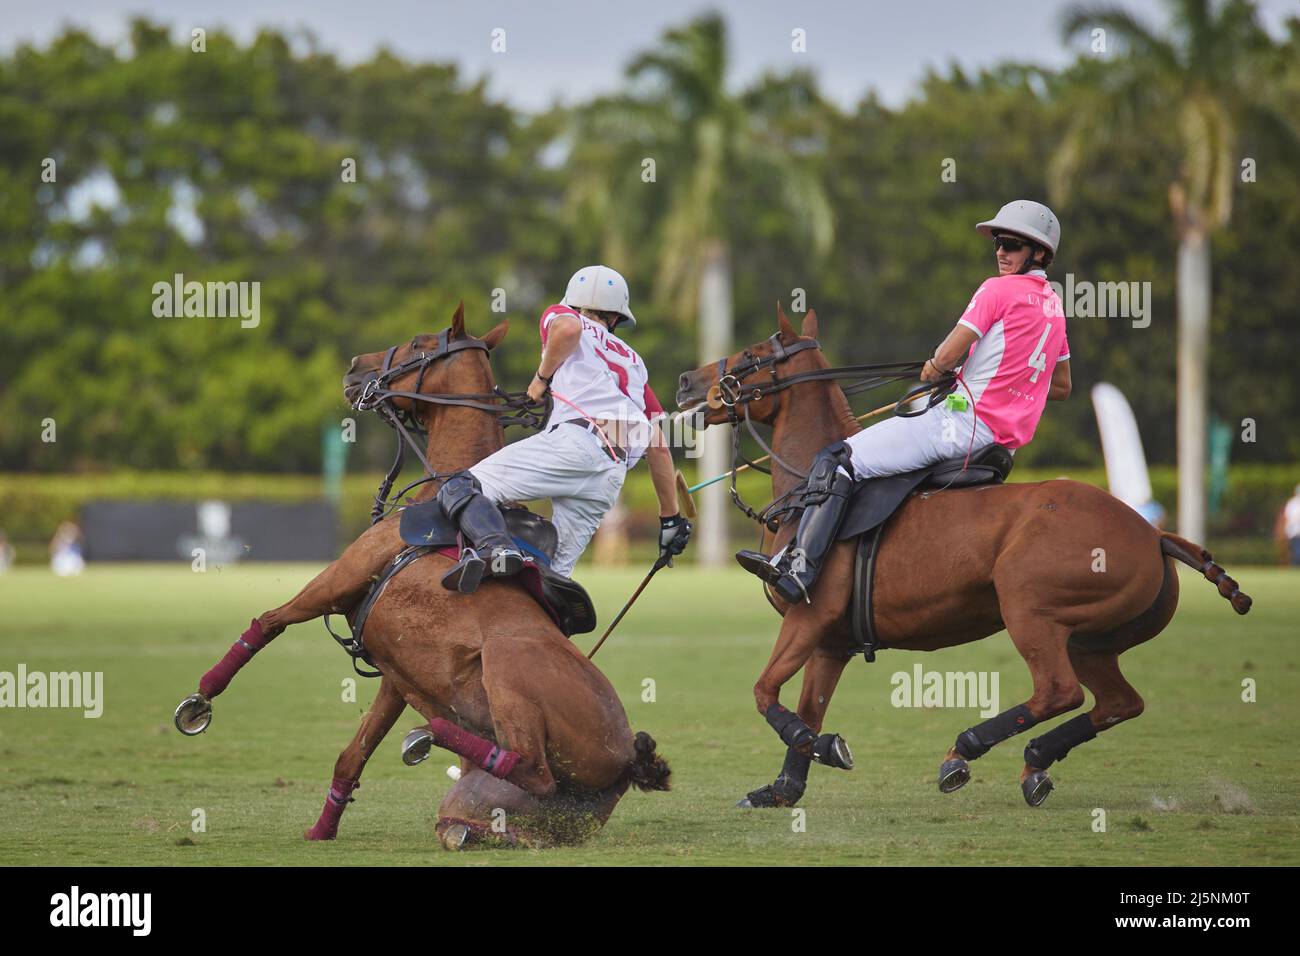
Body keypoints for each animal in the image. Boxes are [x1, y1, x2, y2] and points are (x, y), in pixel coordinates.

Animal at [175, 303, 670, 848]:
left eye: (417, 342)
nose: (355, 367)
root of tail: (626, 762)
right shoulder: (394, 673)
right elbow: (353, 754)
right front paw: (321, 829)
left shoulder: (336, 580)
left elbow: (268, 622)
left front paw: (199, 701)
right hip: (499, 807)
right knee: (482, 808)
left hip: (505, 662)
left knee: (532, 765)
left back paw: (431, 734)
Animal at [676, 304, 1242, 806]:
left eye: (752, 352)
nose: (685, 381)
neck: (803, 493)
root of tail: (1153, 534)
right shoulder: (829, 640)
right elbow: (805, 705)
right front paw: (782, 789)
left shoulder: (806, 616)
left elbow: (764, 692)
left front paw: (827, 747)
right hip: (1091, 638)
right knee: (1120, 701)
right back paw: (1035, 761)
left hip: (1028, 607)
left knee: (1059, 691)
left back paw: (965, 752)